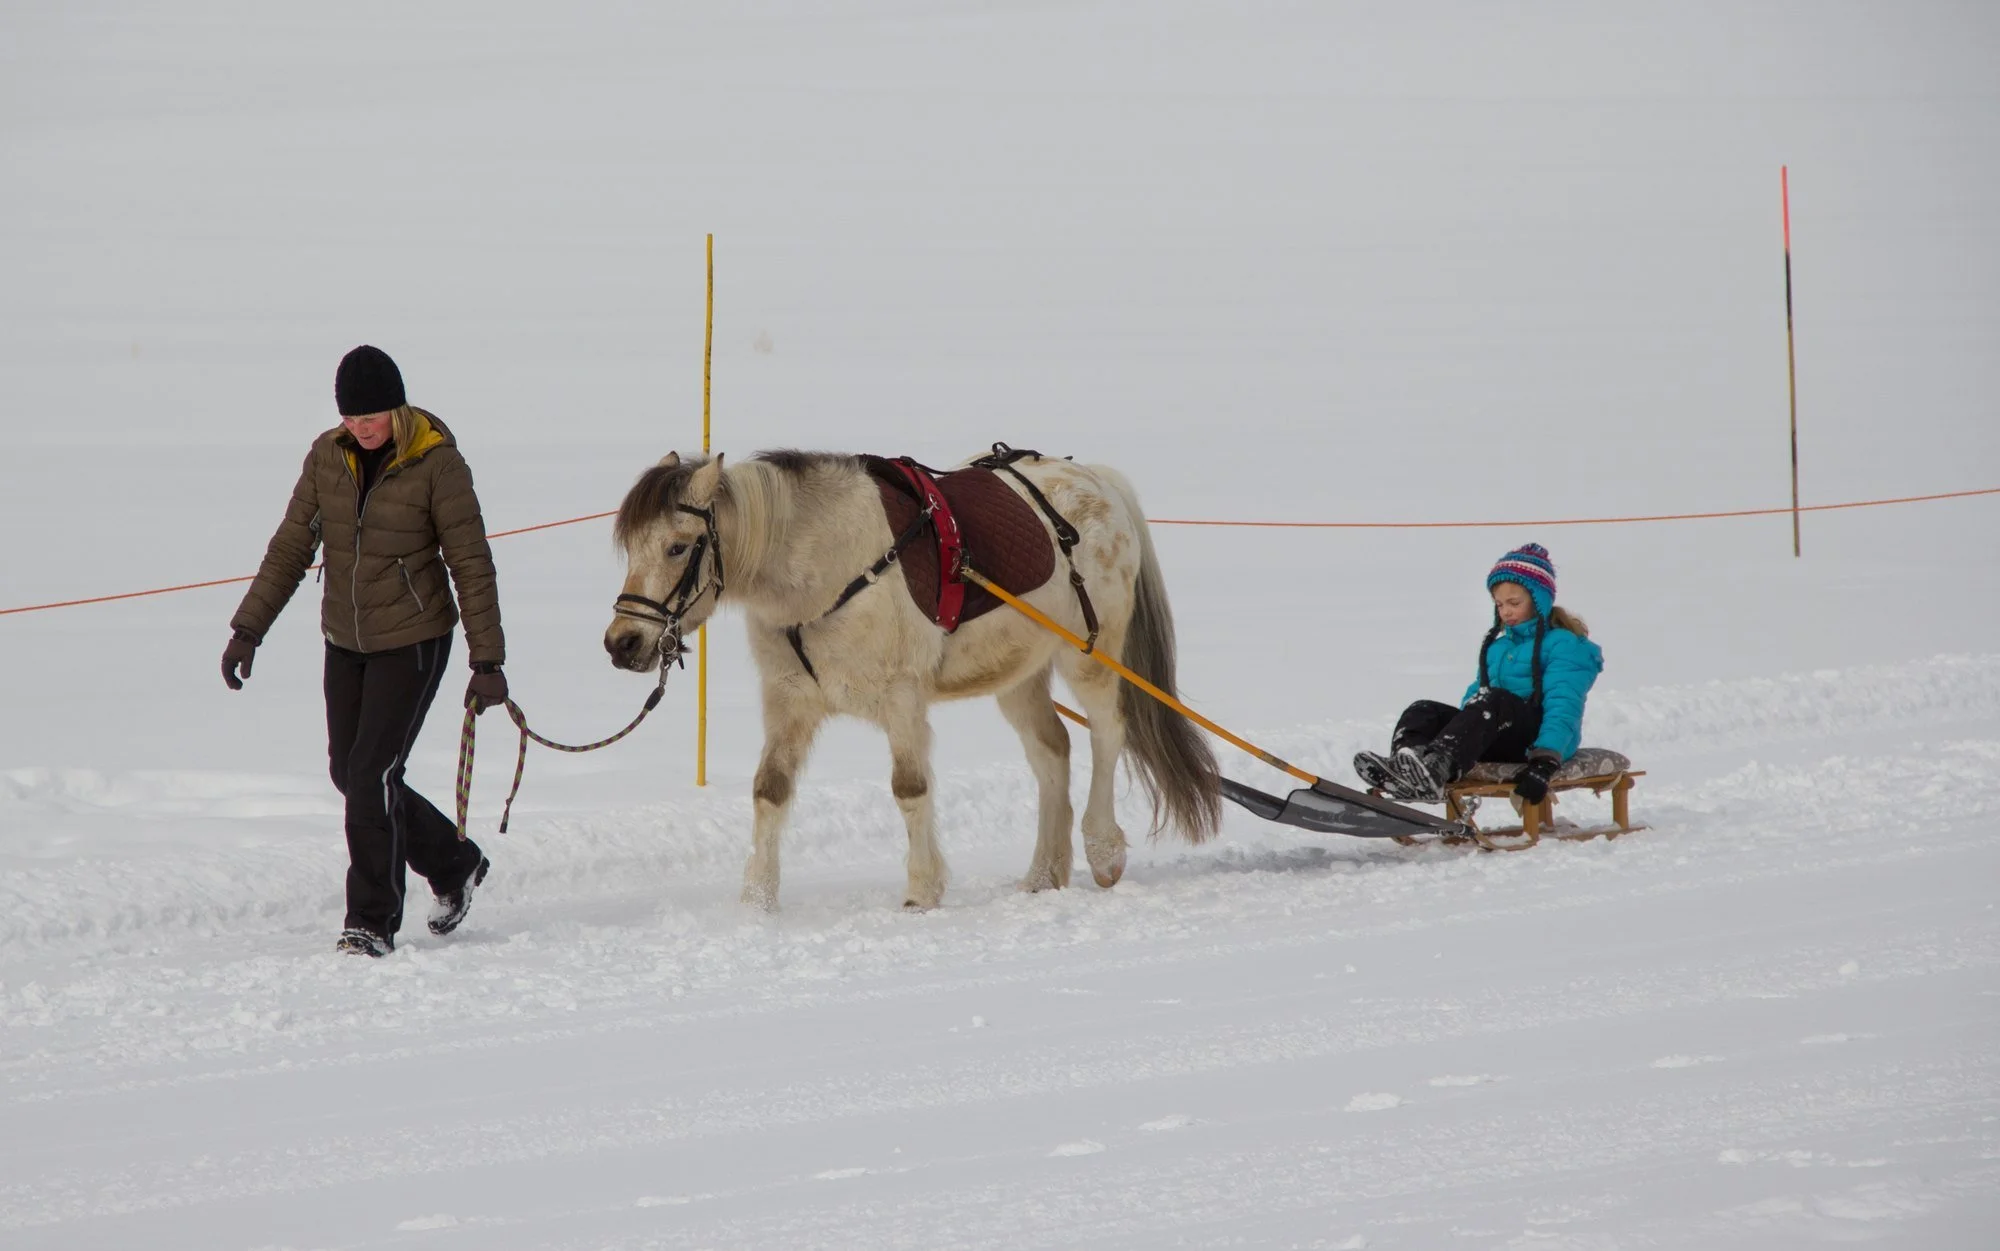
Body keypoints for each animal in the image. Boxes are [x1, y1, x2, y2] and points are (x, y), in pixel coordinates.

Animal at [602, 448, 1220, 911]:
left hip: (1089, 655)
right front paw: (758, 899)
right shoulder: (789, 701)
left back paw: (1103, 849)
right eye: (629, 547)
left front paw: (922, 891)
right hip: (1018, 673)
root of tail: (1098, 479)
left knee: (1108, 733)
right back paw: (1044, 873)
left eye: (677, 546)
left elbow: (910, 788)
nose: (621, 643)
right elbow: (769, 790)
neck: (826, 568)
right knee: (1051, 752)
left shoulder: (901, 698)